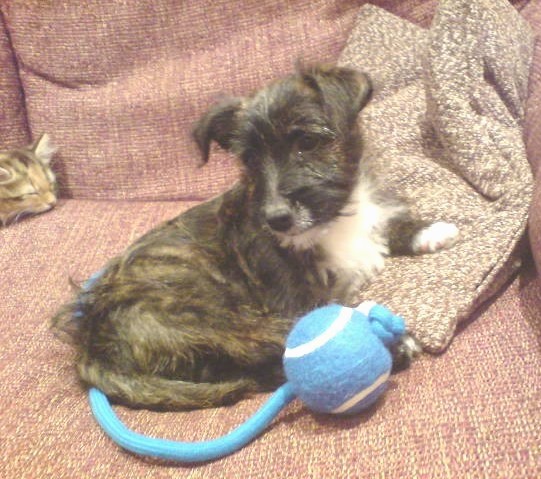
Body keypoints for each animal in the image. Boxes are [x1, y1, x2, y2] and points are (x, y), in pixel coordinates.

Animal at [51, 63, 456, 410]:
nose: (277, 219)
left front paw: (431, 230)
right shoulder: (292, 299)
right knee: (269, 340)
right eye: (249, 159)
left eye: (307, 142)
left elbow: (390, 226)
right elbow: (316, 315)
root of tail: (91, 338)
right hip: (208, 314)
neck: (333, 221)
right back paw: (396, 347)